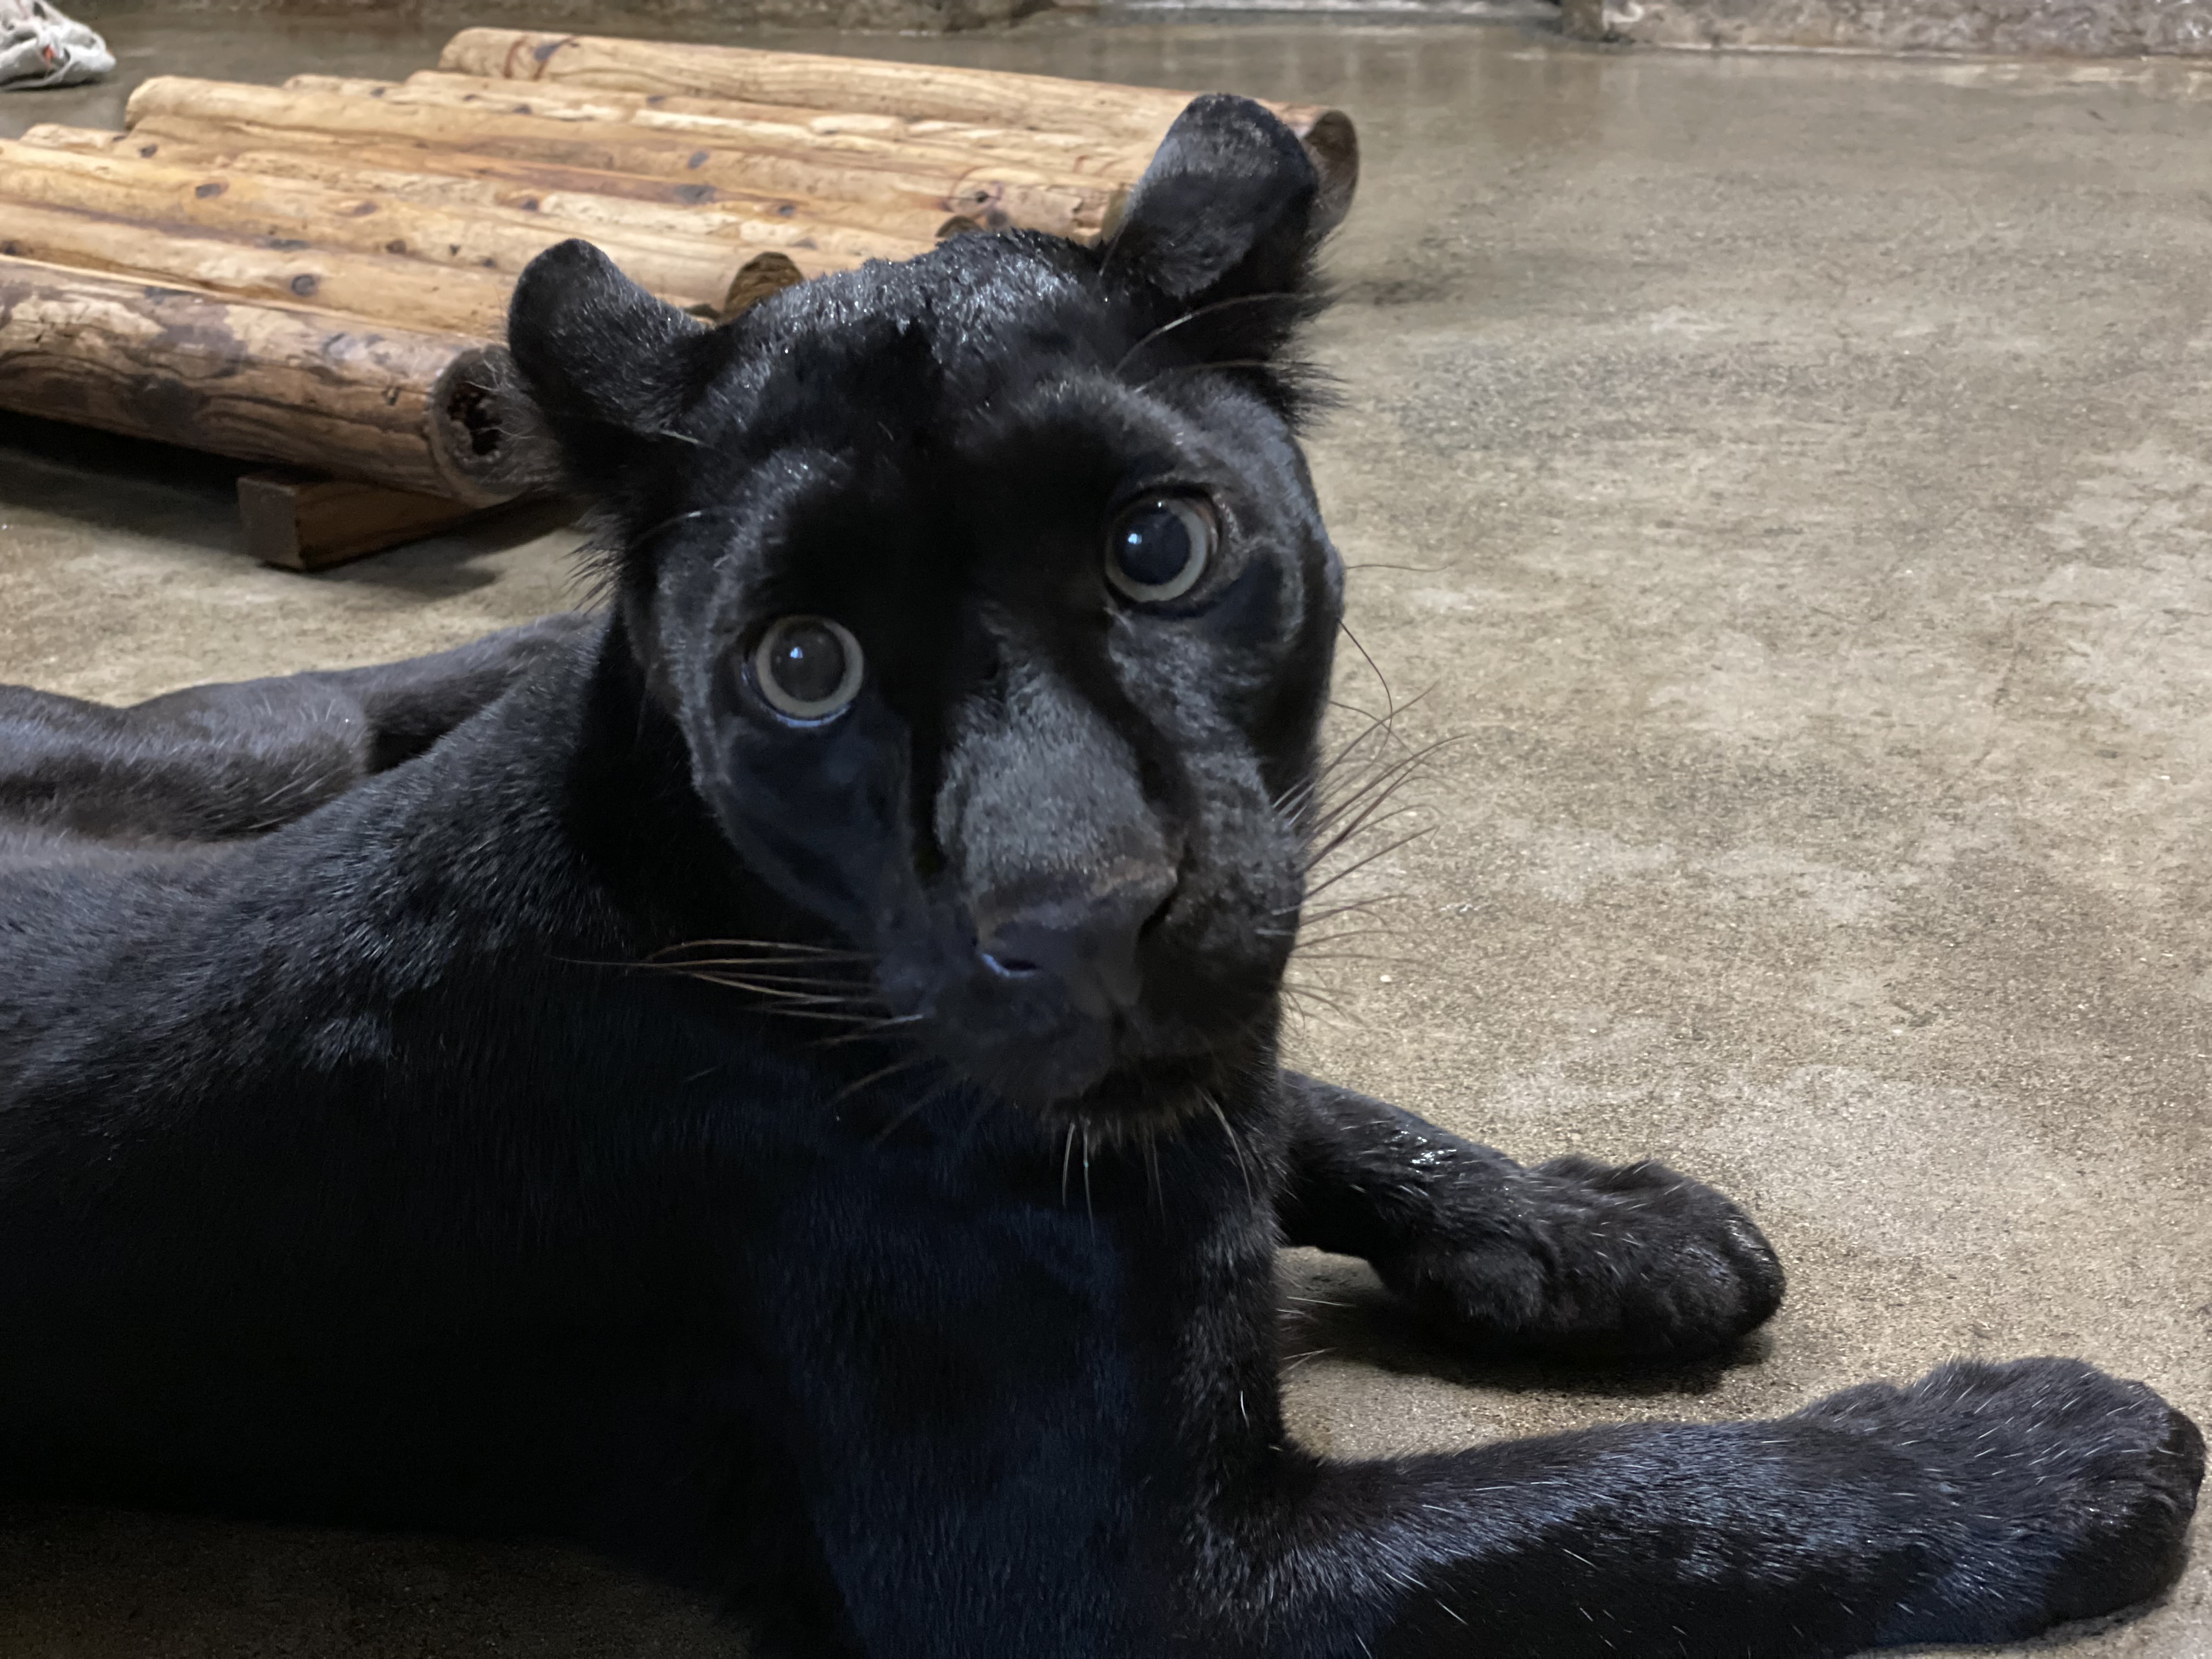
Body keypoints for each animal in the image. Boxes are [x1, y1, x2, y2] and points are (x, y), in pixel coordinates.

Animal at [0, 94, 2194, 1659]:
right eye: (805, 664)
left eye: (1159, 545)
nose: (1079, 909)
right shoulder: (1128, 1582)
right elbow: (1616, 1516)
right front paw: (2042, 1448)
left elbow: (1309, 1093)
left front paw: (1597, 1231)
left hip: (245, 749)